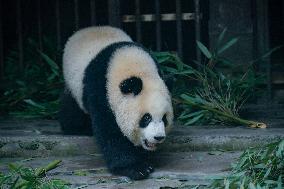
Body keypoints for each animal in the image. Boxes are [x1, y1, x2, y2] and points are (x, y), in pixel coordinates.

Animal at [60, 26, 173, 180]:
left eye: (164, 118)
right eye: (146, 118)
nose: (158, 137)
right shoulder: (100, 91)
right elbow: (110, 134)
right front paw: (137, 168)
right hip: (73, 84)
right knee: (72, 109)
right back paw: (76, 128)